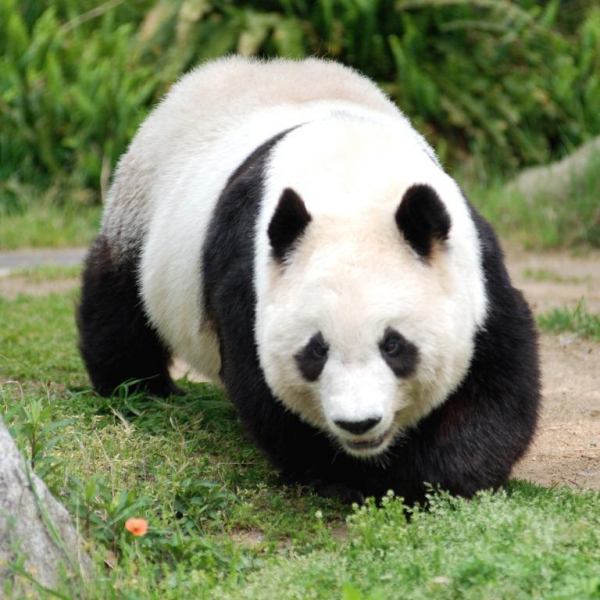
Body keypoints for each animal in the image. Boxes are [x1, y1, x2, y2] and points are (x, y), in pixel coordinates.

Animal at [77, 56, 540, 506]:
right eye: (316, 350)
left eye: (393, 345)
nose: (359, 423)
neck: (352, 177)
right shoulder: (251, 276)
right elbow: (269, 393)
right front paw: (349, 480)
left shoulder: (473, 266)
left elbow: (494, 383)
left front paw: (434, 480)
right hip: (141, 201)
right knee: (119, 303)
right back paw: (140, 387)